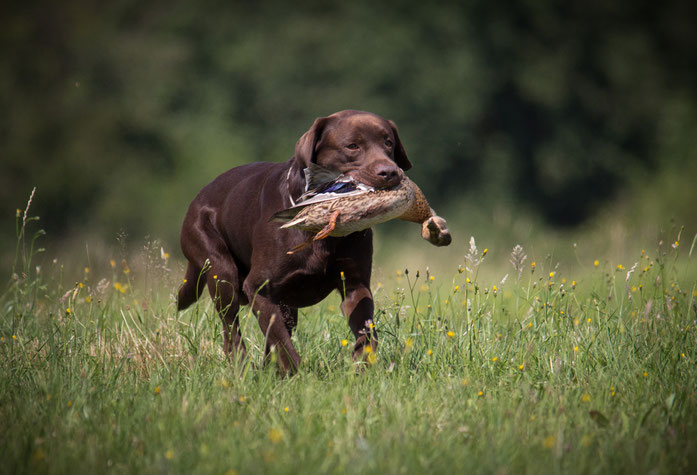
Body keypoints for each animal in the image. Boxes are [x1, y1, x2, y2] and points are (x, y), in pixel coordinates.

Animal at [178, 109, 414, 374]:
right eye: (352, 146)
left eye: (388, 143)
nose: (390, 172)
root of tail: (197, 198)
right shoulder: (259, 288)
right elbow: (281, 342)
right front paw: (300, 375)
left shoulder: (355, 284)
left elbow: (367, 331)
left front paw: (361, 368)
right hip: (220, 270)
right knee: (232, 332)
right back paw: (243, 369)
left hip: (284, 304)